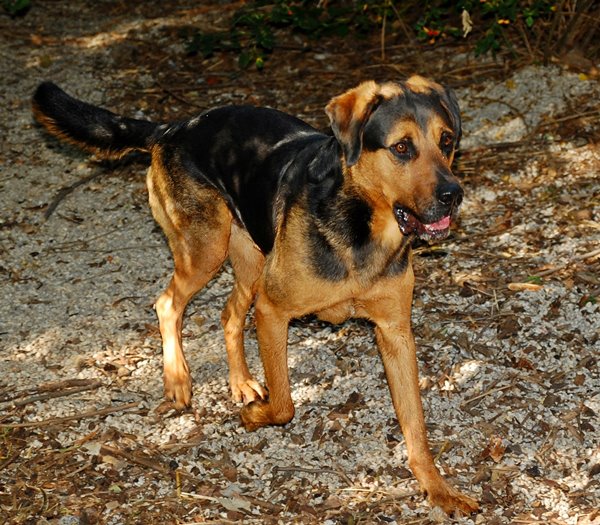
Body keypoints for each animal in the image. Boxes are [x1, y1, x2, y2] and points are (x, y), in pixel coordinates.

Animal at [32, 76, 478, 515]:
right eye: (402, 147)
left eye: (446, 141)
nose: (453, 195)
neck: (364, 227)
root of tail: (174, 127)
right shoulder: (272, 310)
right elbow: (284, 404)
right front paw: (254, 417)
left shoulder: (395, 333)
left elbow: (415, 423)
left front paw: (438, 487)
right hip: (206, 251)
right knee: (167, 304)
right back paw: (177, 379)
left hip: (250, 261)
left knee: (228, 314)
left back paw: (241, 381)